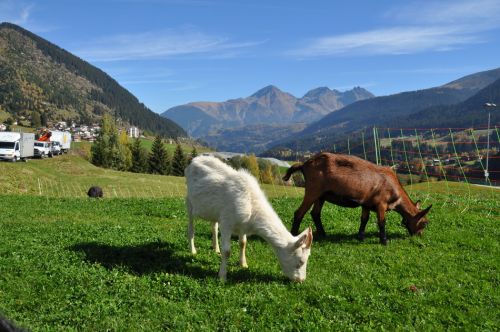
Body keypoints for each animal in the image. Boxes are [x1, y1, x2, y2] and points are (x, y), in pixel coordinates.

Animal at [284, 152, 432, 244]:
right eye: (424, 222)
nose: (420, 235)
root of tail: (304, 164)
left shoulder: (367, 203)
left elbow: (364, 219)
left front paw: (360, 237)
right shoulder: (381, 203)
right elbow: (382, 222)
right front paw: (384, 241)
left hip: (321, 196)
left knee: (315, 213)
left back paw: (323, 234)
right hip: (312, 191)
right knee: (299, 213)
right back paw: (293, 235)